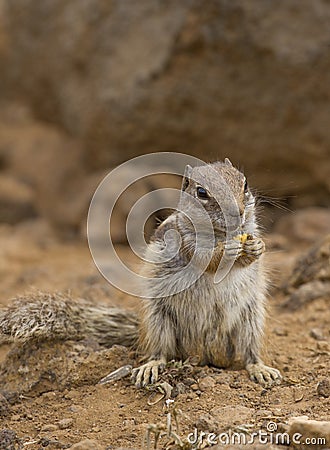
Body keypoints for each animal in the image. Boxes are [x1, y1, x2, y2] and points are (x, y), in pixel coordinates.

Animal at [0, 160, 282, 388]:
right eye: (201, 192)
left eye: (244, 184)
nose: (238, 213)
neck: (221, 234)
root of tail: (205, 354)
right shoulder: (184, 241)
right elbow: (207, 261)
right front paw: (229, 250)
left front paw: (257, 247)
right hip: (159, 321)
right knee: (159, 352)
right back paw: (150, 367)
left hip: (251, 320)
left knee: (249, 353)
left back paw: (261, 369)